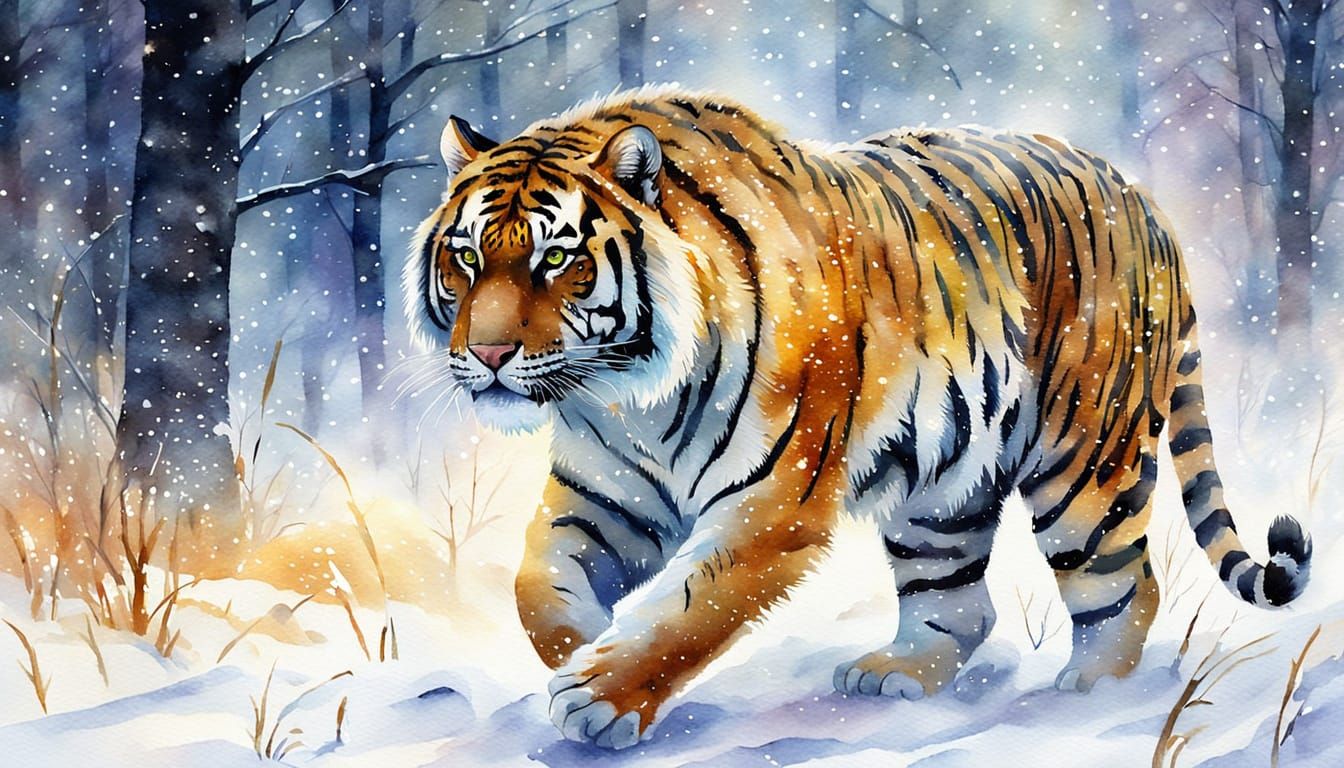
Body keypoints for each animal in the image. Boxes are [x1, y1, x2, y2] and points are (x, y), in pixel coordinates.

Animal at [406, 84, 1312, 750]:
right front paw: (582, 650)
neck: (629, 393)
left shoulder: (773, 503)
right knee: (960, 605)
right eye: (466, 257)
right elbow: (537, 587)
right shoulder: (605, 491)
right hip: (942, 492)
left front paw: (603, 692)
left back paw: (1090, 693)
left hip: (1083, 465)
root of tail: (1145, 203)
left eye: (557, 256)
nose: (487, 354)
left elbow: (694, 607)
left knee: (1124, 588)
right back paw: (898, 673)